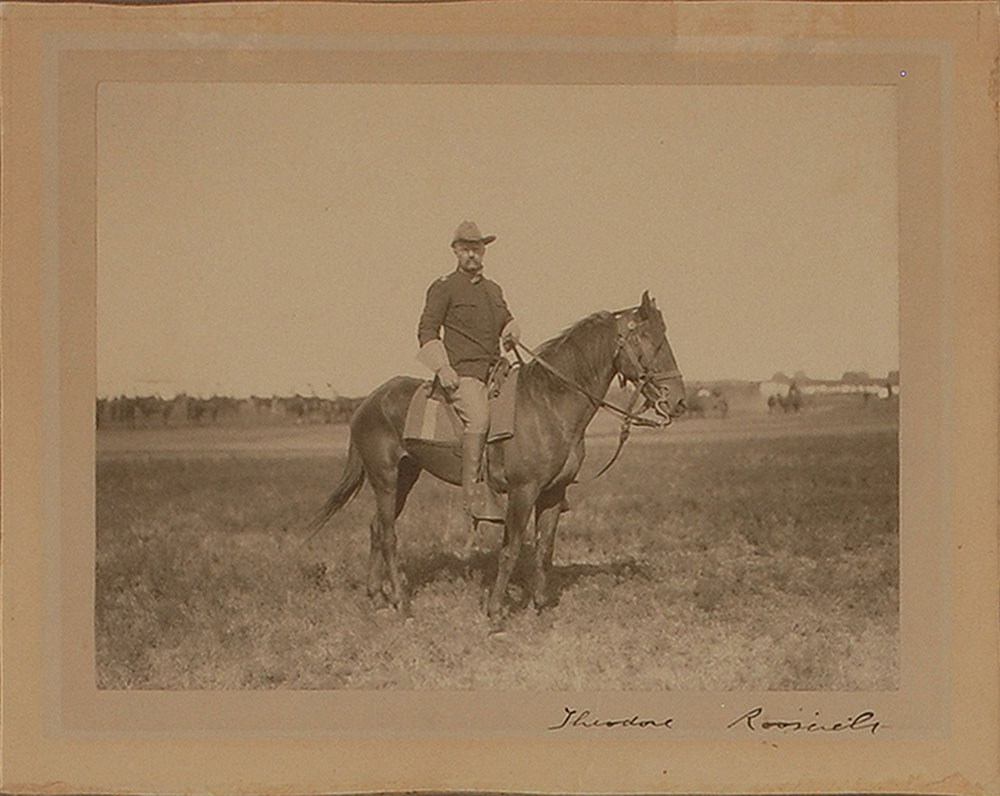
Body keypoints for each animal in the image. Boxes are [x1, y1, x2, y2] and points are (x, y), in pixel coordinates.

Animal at [308, 291, 685, 630]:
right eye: (648, 338)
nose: (678, 401)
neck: (548, 403)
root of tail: (367, 402)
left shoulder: (553, 493)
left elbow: (544, 549)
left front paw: (539, 608)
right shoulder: (522, 492)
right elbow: (511, 549)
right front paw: (495, 614)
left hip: (405, 476)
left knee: (376, 528)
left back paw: (376, 596)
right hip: (384, 477)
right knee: (388, 535)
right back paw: (403, 605)